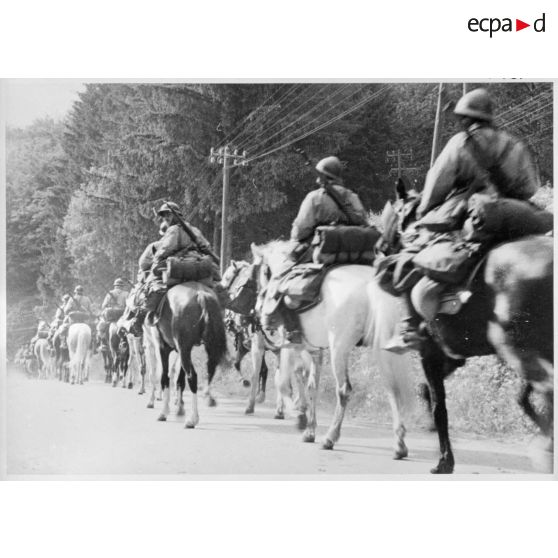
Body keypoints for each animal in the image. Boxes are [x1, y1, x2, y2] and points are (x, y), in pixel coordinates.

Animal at [253, 242, 416, 460]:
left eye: (262, 271)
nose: (258, 308)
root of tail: (369, 284)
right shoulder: (315, 351)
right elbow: (312, 387)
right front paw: (309, 430)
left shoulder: (290, 345)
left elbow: (283, 383)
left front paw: (298, 417)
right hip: (382, 348)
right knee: (392, 388)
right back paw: (399, 444)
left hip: (339, 348)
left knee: (344, 390)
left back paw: (330, 437)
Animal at [380, 182, 556, 474]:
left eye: (394, 213)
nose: (380, 247)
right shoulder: (453, 356)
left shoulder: (430, 353)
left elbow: (439, 406)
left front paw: (444, 460)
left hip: (514, 346)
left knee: (550, 389)